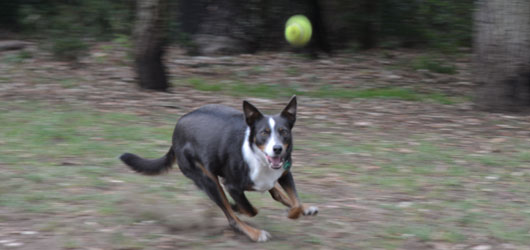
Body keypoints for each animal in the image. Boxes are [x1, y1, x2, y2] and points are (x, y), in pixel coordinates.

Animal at [119, 96, 316, 242]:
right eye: (264, 133)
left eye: (284, 132)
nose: (277, 149)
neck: (258, 158)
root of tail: (177, 129)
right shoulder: (231, 186)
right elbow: (250, 209)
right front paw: (238, 208)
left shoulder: (285, 173)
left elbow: (295, 202)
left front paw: (298, 210)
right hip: (209, 180)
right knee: (231, 217)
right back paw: (253, 232)